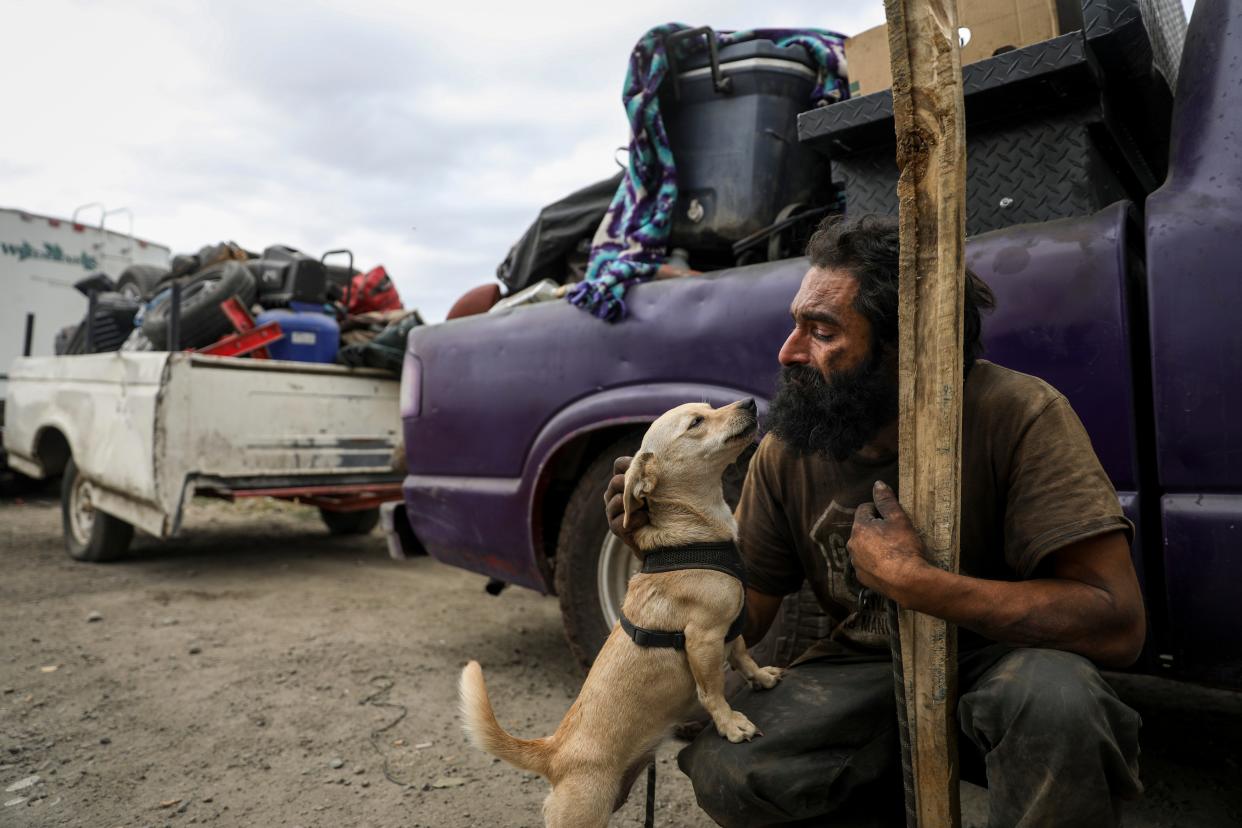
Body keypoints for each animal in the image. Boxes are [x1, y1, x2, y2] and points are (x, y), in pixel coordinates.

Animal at [462, 397, 779, 824]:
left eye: (710, 407)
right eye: (696, 422)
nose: (748, 402)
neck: (695, 538)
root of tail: (554, 751)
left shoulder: (732, 628)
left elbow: (744, 655)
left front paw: (761, 677)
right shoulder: (703, 639)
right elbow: (712, 691)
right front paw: (730, 724)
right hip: (583, 815)